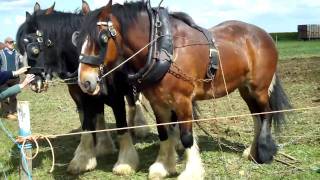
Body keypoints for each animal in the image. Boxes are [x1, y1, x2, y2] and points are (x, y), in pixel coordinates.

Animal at [15, 0, 149, 174]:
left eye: (35, 50)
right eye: (20, 48)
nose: (33, 82)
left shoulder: (115, 96)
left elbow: (120, 123)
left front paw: (124, 162)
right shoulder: (84, 96)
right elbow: (89, 122)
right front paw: (88, 154)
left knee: (134, 102)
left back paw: (139, 126)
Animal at [76, 1, 292, 179]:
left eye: (103, 38)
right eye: (77, 38)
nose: (85, 81)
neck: (161, 49)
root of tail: (264, 34)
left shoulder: (183, 101)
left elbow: (187, 137)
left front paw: (191, 172)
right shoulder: (158, 103)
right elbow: (164, 133)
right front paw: (162, 166)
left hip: (259, 88)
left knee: (266, 114)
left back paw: (263, 152)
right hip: (245, 89)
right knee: (257, 116)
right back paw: (251, 151)